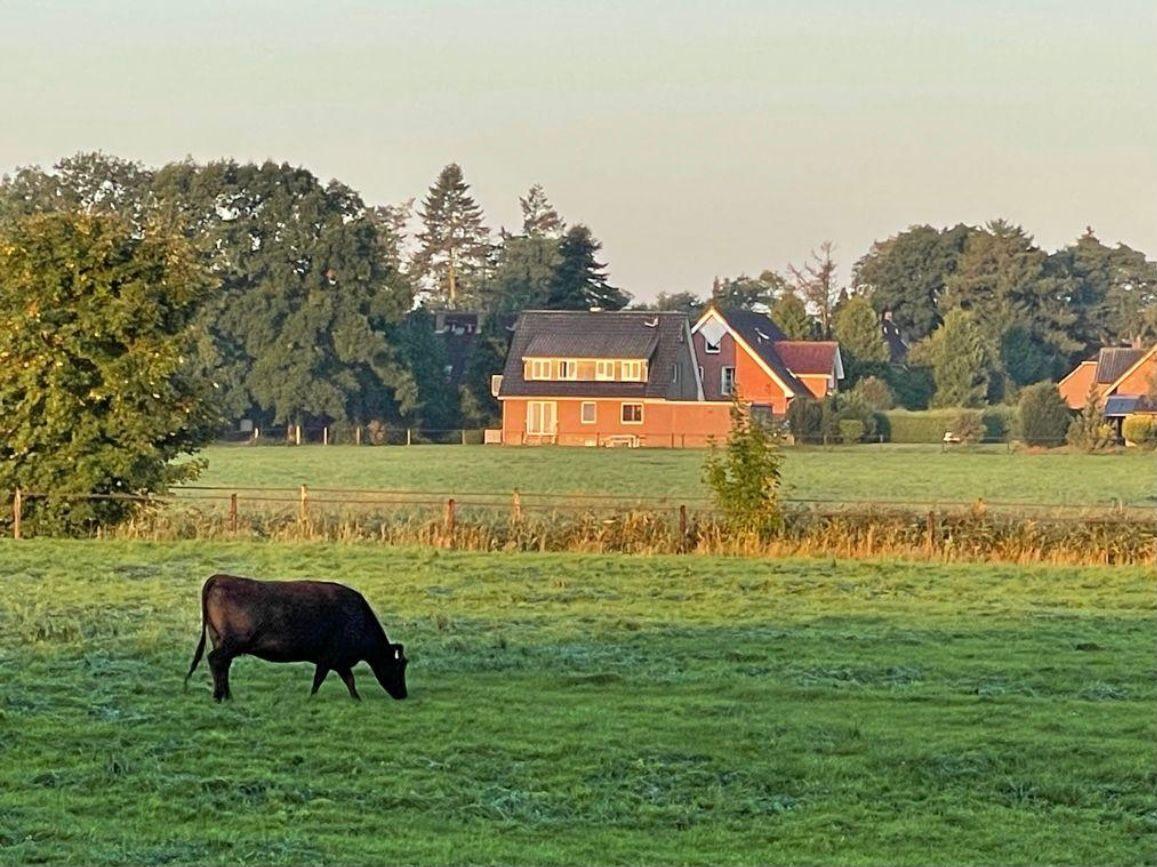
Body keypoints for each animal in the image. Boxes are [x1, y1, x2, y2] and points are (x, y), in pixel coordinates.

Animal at [184, 574, 408, 702]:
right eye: (399, 666)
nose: (403, 695)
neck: (357, 618)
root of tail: (221, 578)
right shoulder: (330, 658)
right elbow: (327, 680)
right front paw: (314, 698)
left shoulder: (336, 660)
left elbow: (347, 680)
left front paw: (356, 699)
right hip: (231, 643)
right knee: (215, 660)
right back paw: (218, 696)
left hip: (221, 641)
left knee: (222, 666)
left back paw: (227, 696)